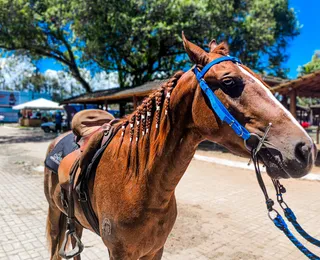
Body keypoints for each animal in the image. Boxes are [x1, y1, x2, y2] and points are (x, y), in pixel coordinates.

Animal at [43, 35, 316, 260]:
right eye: (229, 81)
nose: (305, 149)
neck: (136, 183)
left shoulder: (155, 250)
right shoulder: (119, 253)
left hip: (75, 221)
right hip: (56, 215)